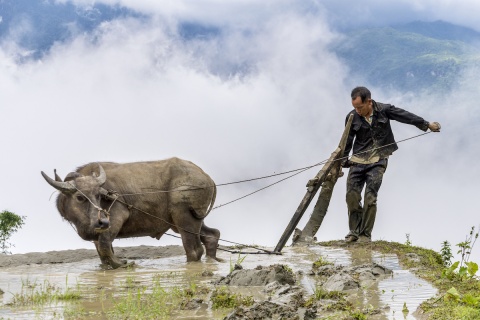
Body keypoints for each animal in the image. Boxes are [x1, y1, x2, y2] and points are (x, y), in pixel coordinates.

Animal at [41, 157, 221, 268]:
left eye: (98, 195)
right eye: (80, 197)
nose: (102, 222)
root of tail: (206, 177)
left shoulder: (116, 218)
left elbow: (105, 246)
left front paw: (124, 263)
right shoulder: (96, 234)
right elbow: (103, 255)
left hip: (184, 218)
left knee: (194, 250)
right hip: (183, 222)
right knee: (212, 235)